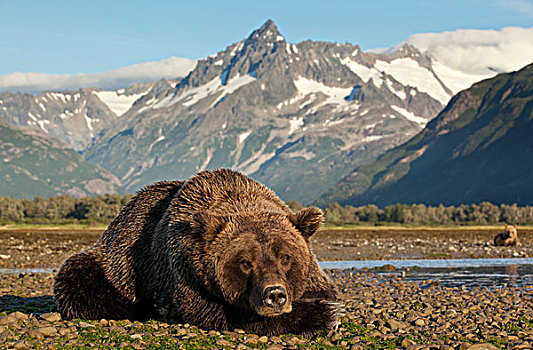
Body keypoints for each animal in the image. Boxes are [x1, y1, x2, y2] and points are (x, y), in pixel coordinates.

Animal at [54, 170, 340, 336]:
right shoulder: (183, 267)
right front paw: (321, 315)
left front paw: (325, 307)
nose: (274, 294)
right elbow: (216, 311)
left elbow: (324, 289)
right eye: (245, 262)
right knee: (79, 280)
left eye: (286, 257)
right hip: (114, 263)